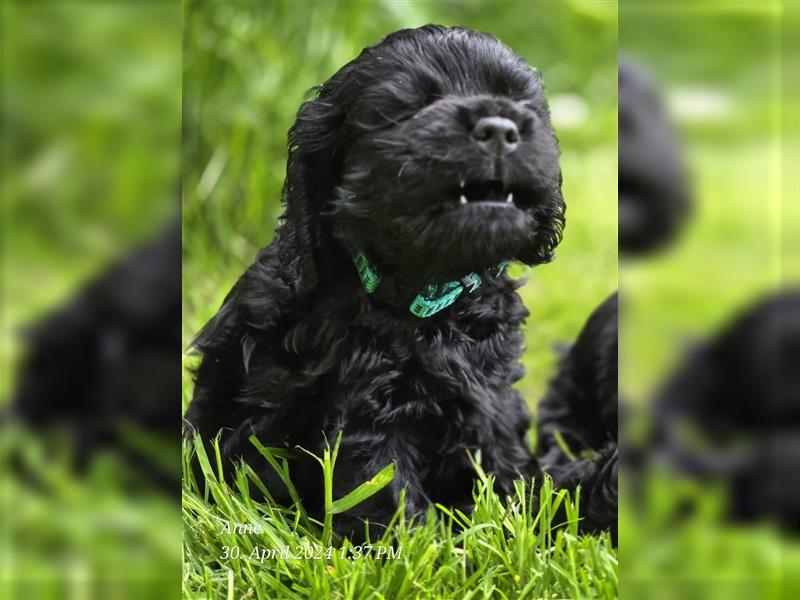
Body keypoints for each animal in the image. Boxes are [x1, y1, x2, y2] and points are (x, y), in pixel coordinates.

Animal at [184, 25, 564, 536]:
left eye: (519, 103)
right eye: (410, 109)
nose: (500, 131)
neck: (429, 298)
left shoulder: (493, 392)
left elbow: (504, 455)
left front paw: (525, 525)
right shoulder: (363, 409)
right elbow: (387, 491)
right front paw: (427, 549)